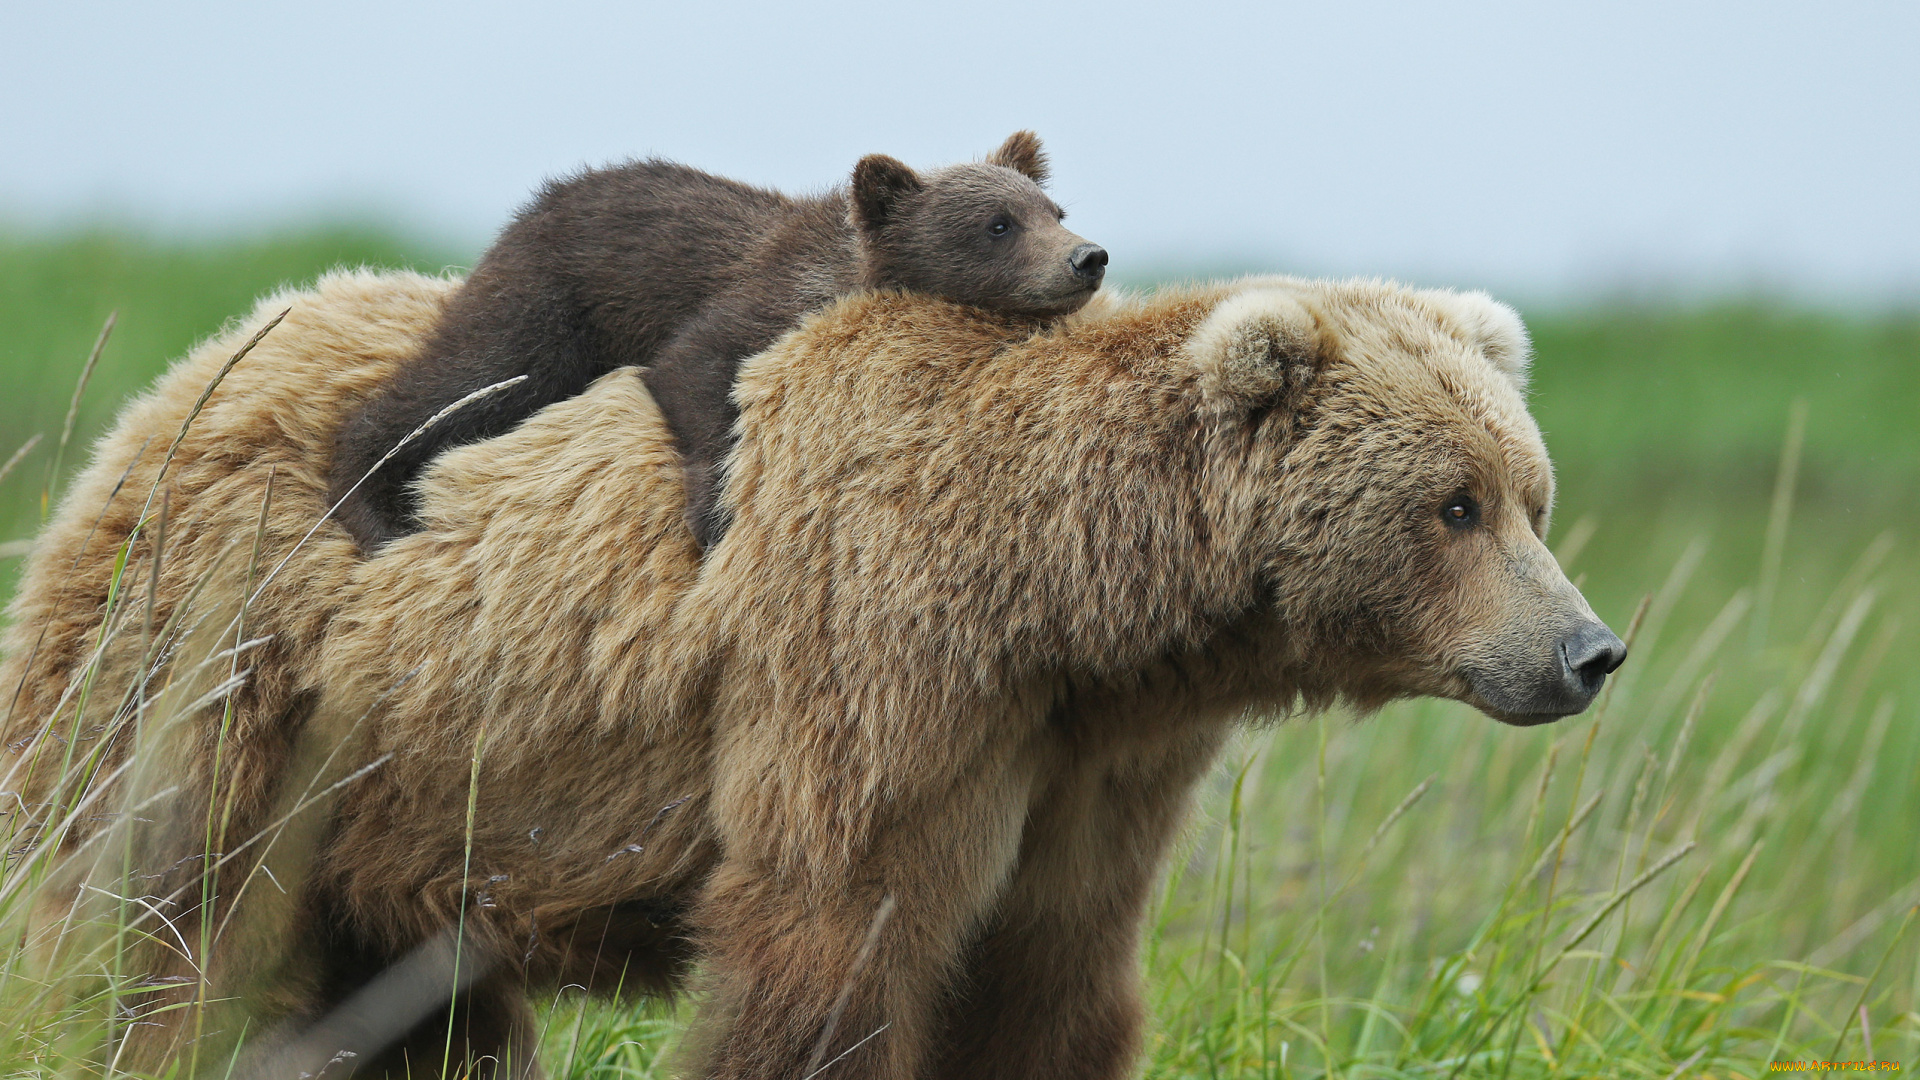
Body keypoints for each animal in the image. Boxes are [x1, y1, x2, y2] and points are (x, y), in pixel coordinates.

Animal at [0, 269, 1620, 1076]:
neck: (1069, 604)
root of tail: (192, 368)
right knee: (146, 928)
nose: (1587, 651)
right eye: (1455, 505)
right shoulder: (880, 671)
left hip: (391, 800)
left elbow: (1046, 982)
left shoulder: (1087, 764)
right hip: (225, 671)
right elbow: (830, 951)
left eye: (1530, 493)